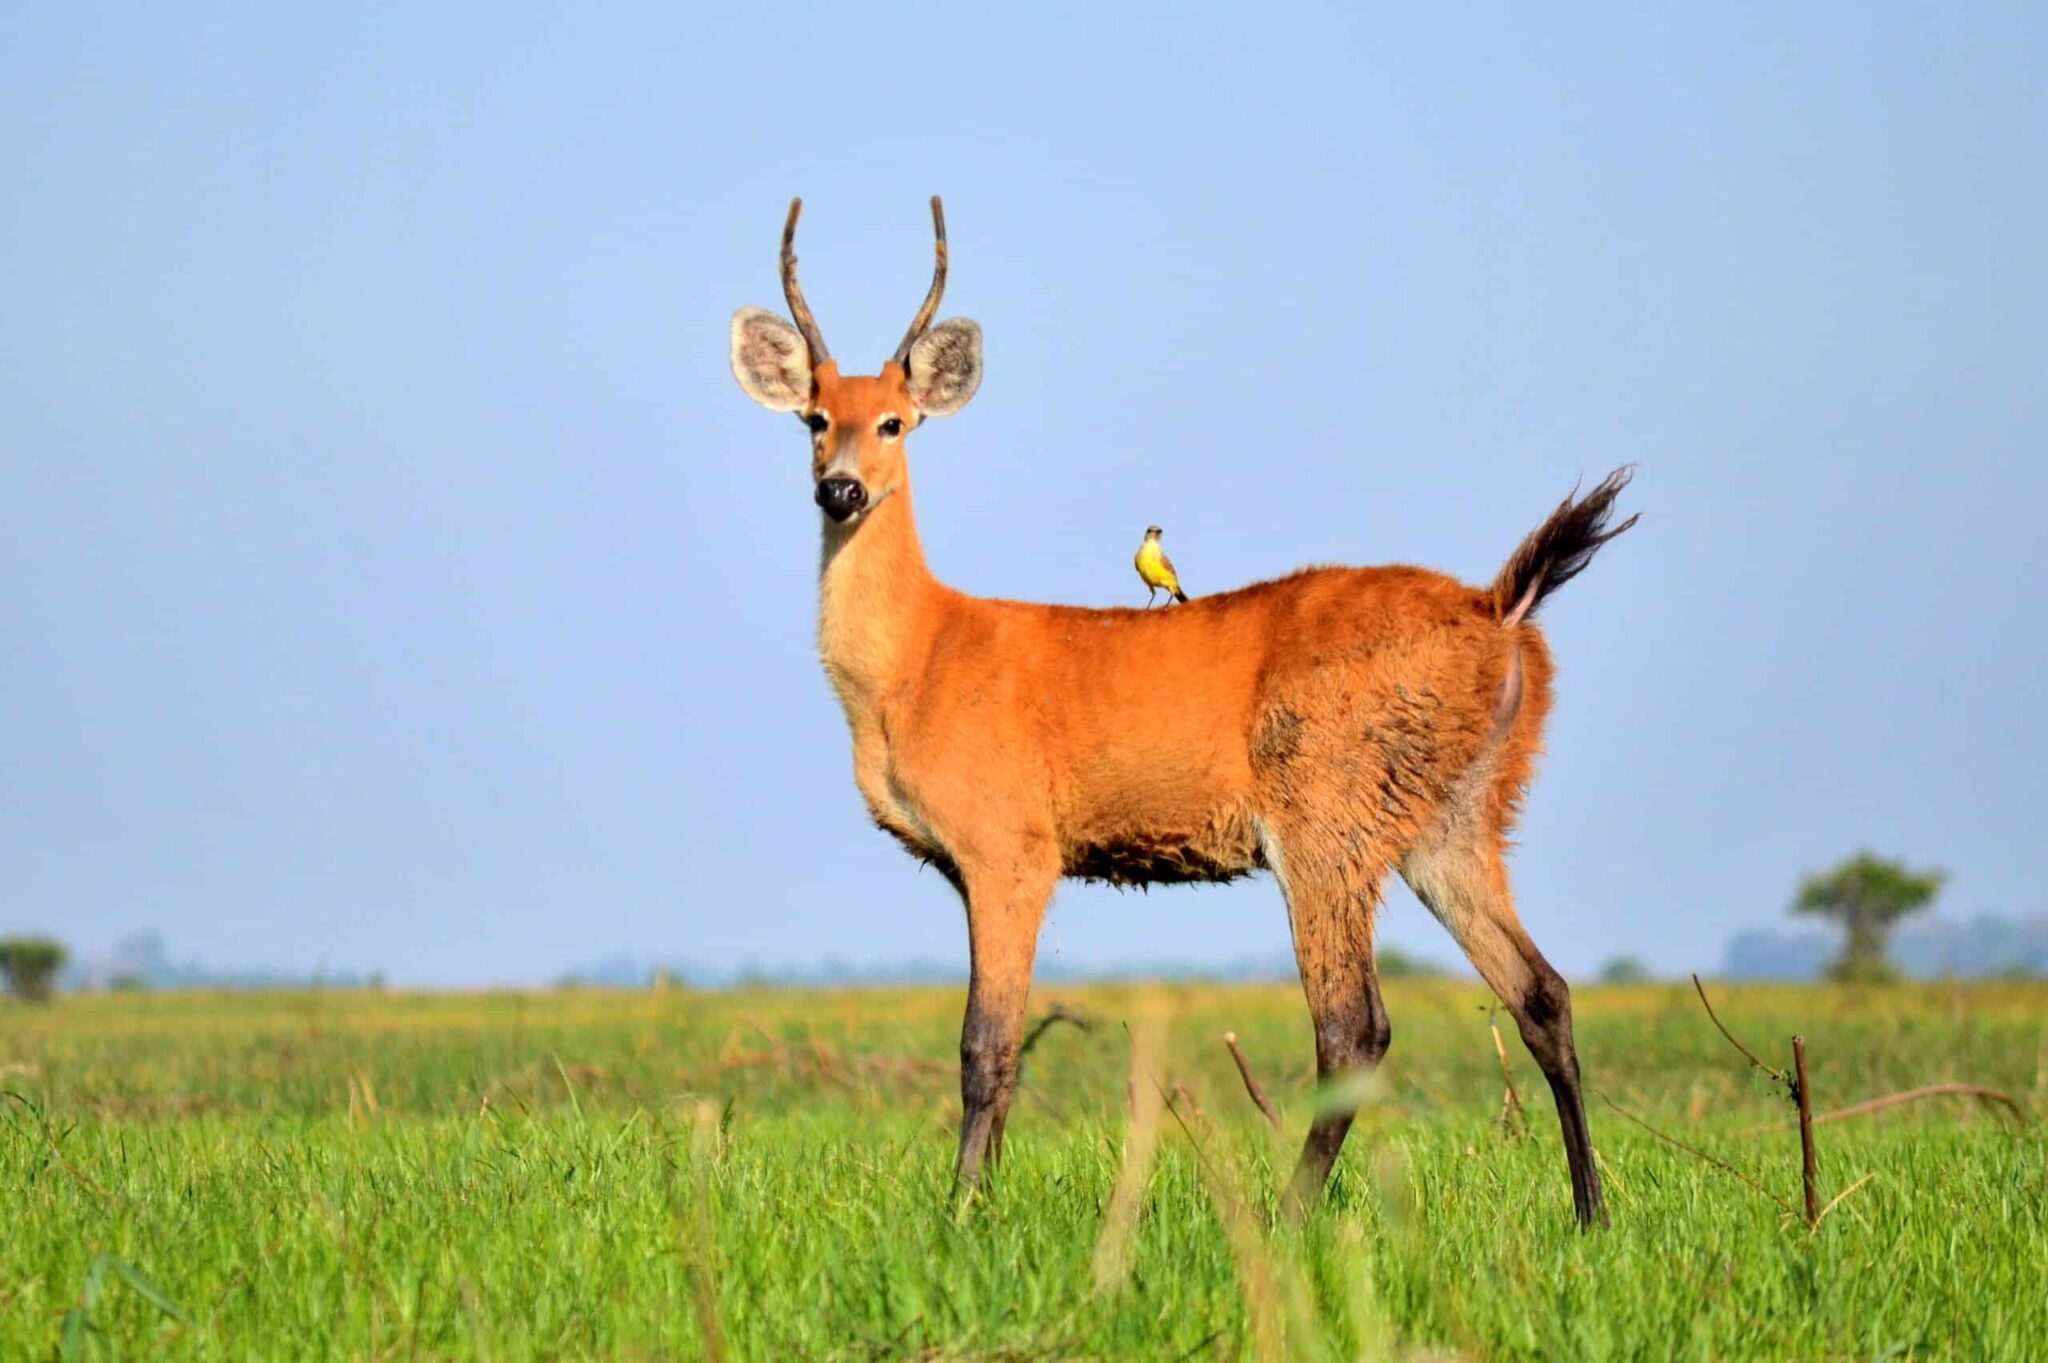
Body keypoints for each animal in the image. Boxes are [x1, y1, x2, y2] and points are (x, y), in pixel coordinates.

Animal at [728, 198, 1636, 1228]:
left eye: (894, 420)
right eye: (812, 418)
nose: (839, 487)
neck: (920, 660)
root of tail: (1499, 607)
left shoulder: (1011, 848)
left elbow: (985, 1048)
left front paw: (960, 1213)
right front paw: (977, 1201)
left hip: (1326, 817)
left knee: (1355, 1026)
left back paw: (1287, 1218)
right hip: (1460, 813)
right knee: (1542, 991)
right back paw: (1591, 1213)